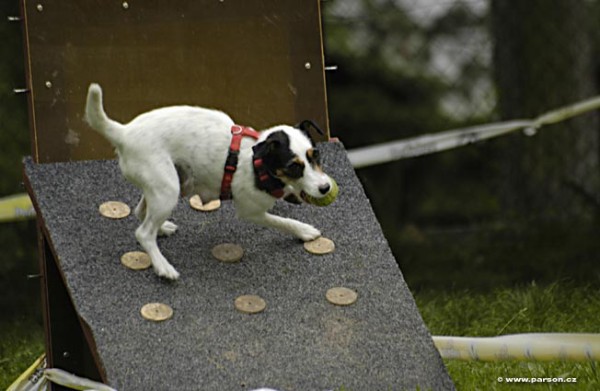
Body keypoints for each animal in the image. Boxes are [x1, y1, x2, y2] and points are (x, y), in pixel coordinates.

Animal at [84, 84, 332, 280]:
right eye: (294, 166)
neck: (258, 163)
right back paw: (163, 266)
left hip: (164, 183)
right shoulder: (251, 212)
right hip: (168, 190)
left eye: (316, 155)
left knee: (141, 212)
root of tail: (123, 133)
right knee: (143, 233)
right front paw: (303, 230)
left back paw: (162, 228)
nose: (326, 188)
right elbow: (282, 221)